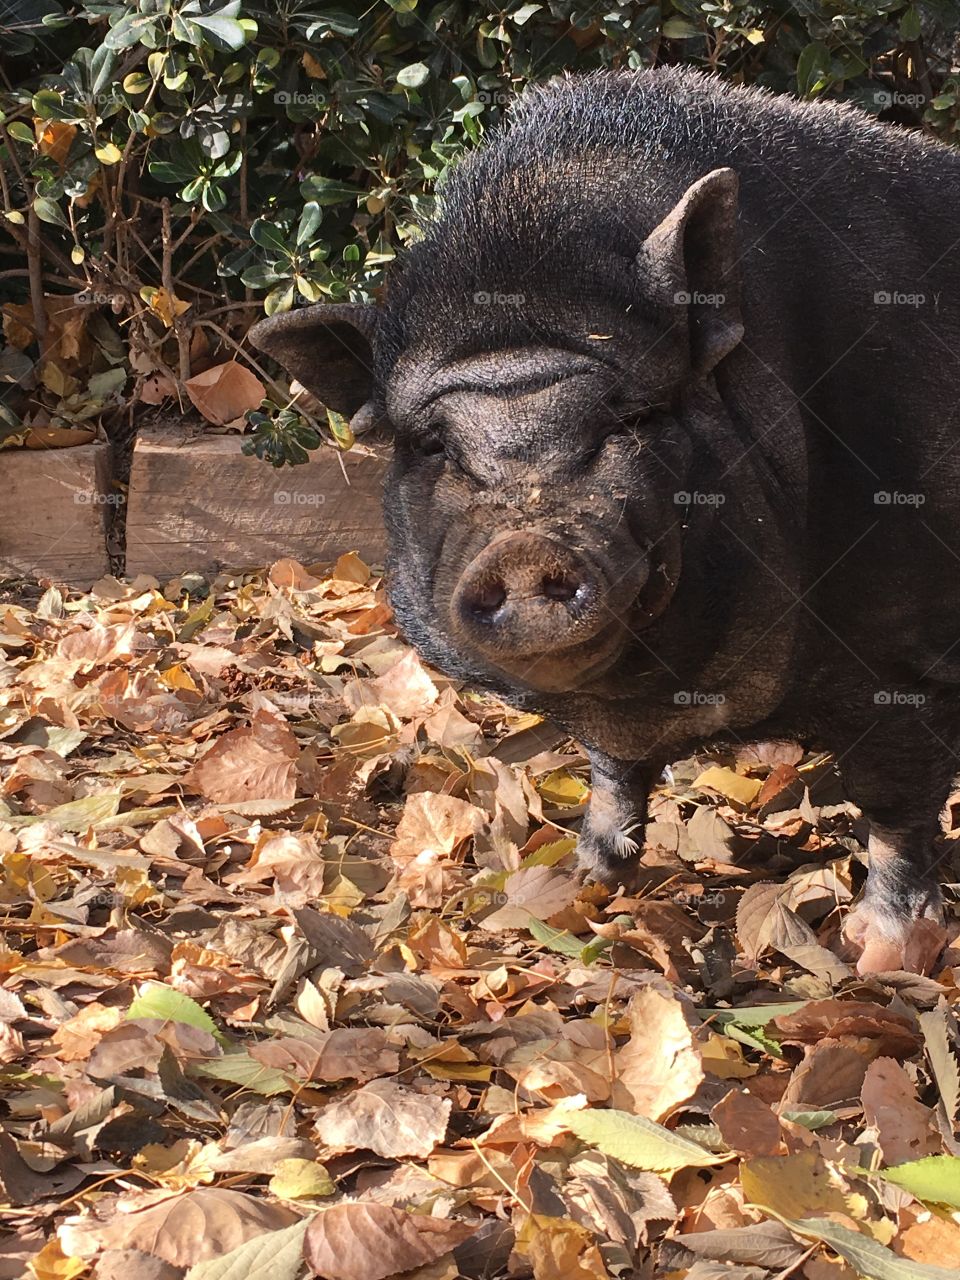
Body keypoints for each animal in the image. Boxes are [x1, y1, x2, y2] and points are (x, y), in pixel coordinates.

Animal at [251, 66, 960, 974]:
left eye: (630, 418)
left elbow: (893, 801)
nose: (525, 546)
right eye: (434, 444)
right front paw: (577, 880)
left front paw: (883, 954)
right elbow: (614, 770)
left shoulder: (907, 656)